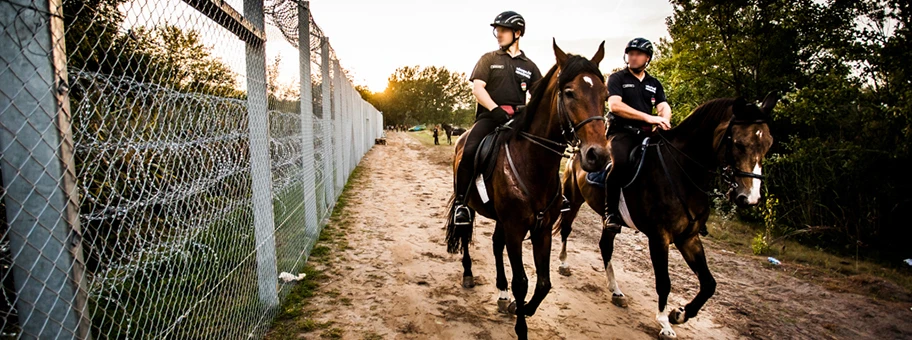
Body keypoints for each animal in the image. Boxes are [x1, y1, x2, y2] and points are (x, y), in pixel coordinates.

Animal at [444, 39, 608, 338]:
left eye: (604, 94)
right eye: (569, 93)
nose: (597, 156)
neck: (533, 162)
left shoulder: (540, 229)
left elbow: (544, 283)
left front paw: (522, 308)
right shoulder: (515, 228)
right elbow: (522, 281)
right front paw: (521, 327)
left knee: (496, 245)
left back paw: (501, 292)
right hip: (470, 205)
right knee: (465, 232)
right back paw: (469, 274)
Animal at [556, 94, 776, 338]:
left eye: (768, 143)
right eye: (738, 143)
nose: (750, 198)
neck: (682, 172)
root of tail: (579, 148)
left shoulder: (688, 238)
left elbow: (709, 284)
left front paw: (679, 314)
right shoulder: (659, 237)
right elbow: (664, 281)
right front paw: (664, 323)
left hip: (609, 219)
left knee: (605, 246)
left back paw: (616, 291)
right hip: (573, 199)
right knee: (566, 229)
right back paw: (564, 265)